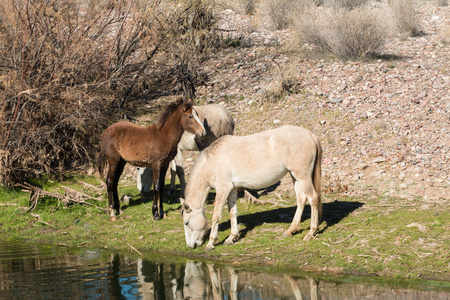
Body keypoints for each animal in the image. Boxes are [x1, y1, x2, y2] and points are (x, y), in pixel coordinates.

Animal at [180, 125, 324, 250]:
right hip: (295, 176)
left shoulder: (222, 189)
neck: (212, 162)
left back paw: (311, 232)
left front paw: (211, 243)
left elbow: (216, 215)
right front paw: (232, 237)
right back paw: (290, 231)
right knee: (301, 199)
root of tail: (311, 136)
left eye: (186, 222)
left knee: (313, 198)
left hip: (303, 177)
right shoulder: (232, 189)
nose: (190, 246)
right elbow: (232, 212)